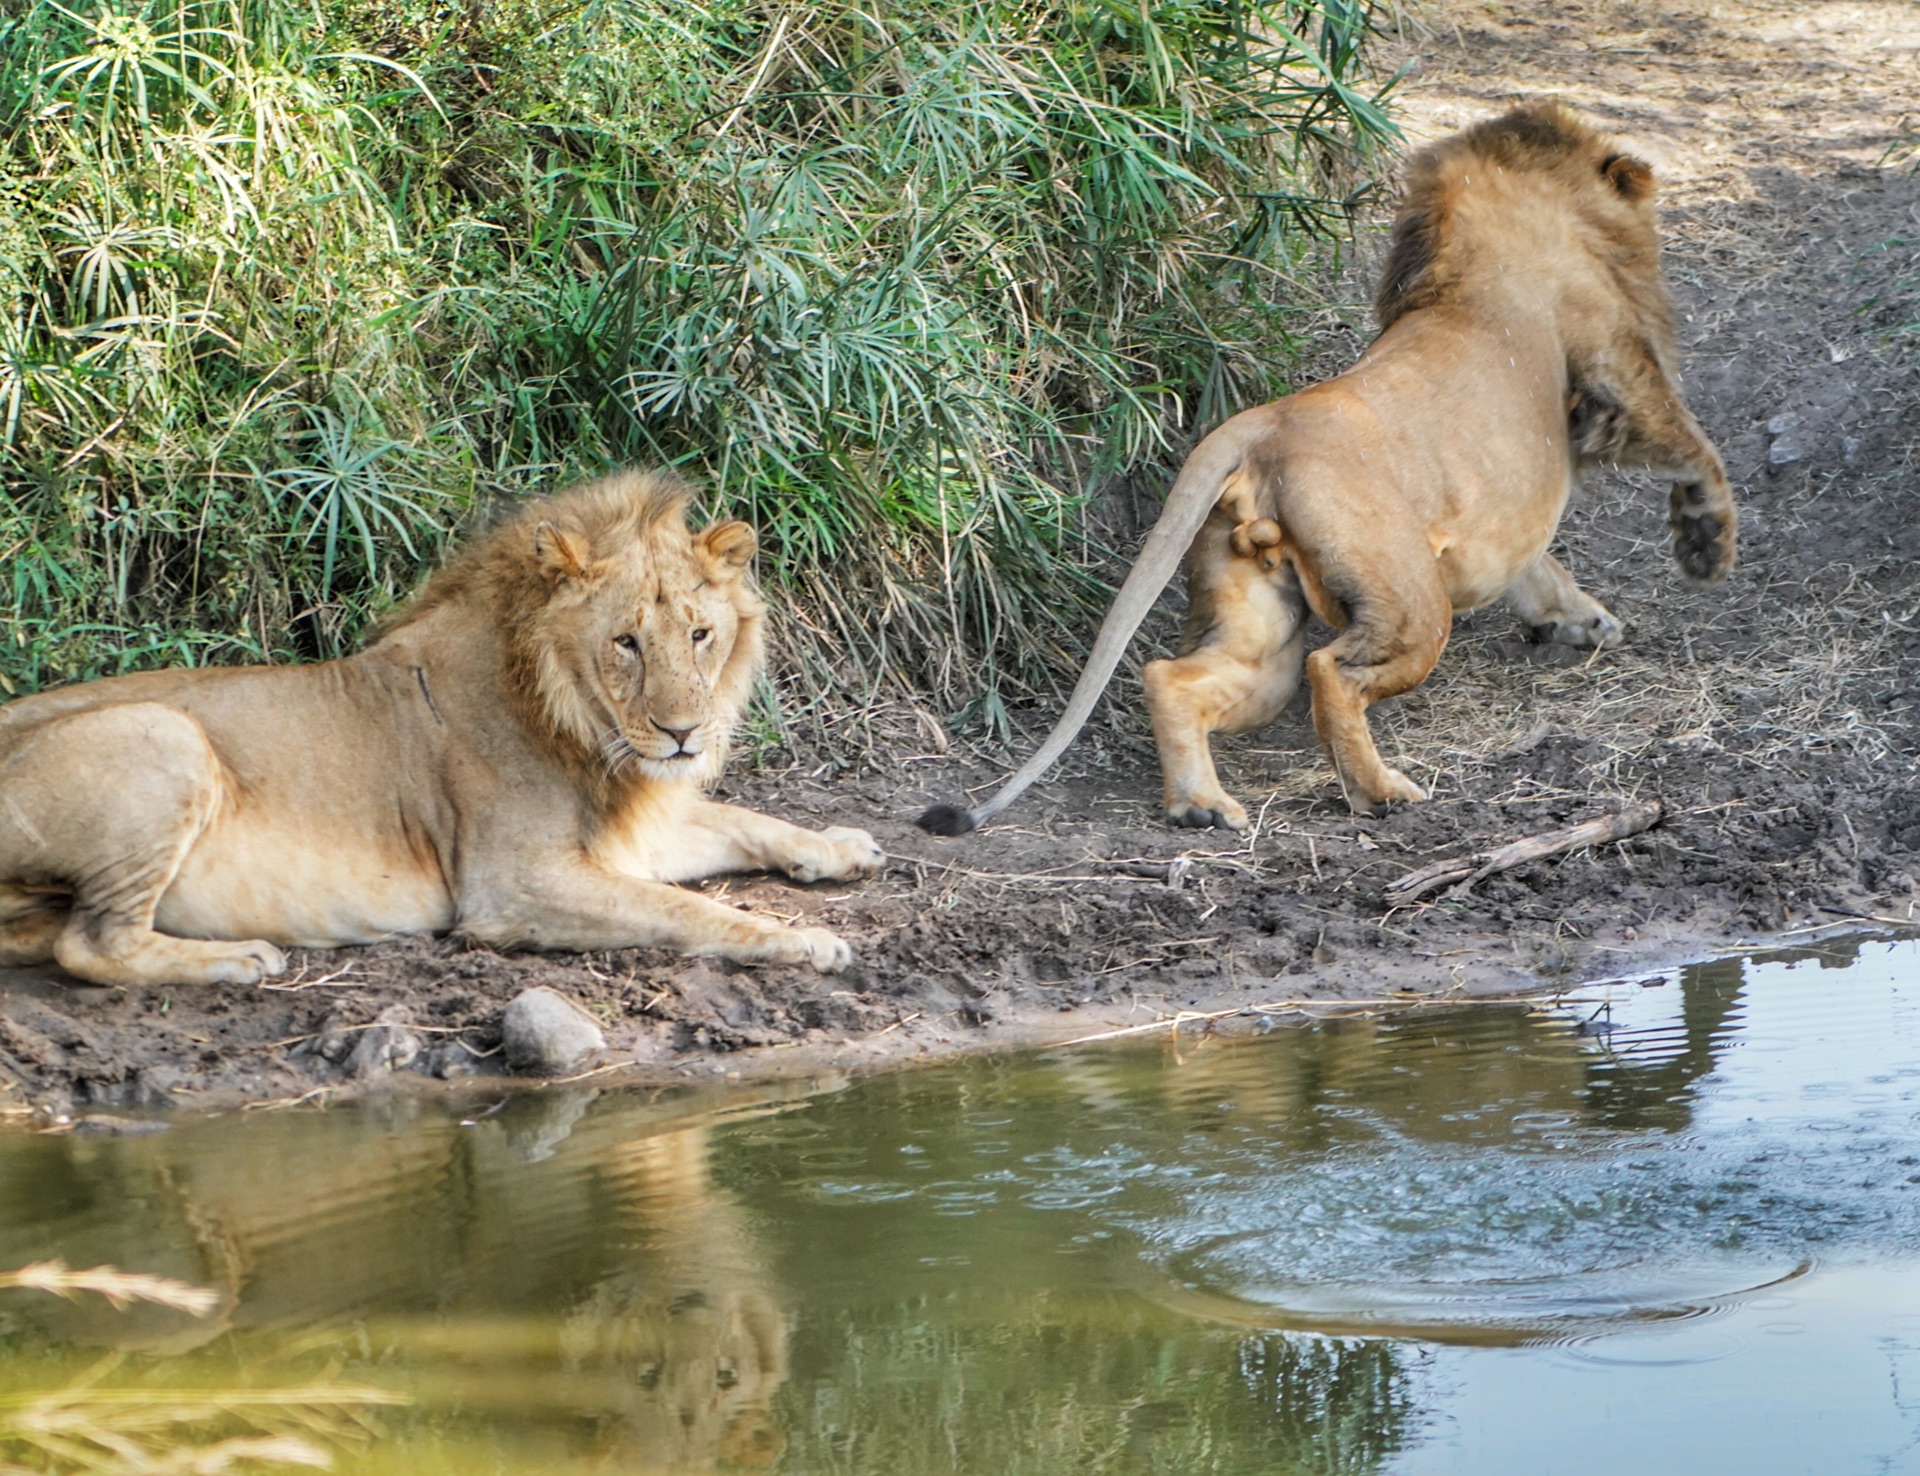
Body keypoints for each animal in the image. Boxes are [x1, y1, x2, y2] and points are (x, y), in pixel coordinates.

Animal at [0, 466, 883, 982]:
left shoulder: (626, 831)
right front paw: (804, 941)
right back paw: (238, 960)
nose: (682, 734)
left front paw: (838, 846)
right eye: (625, 643)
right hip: (164, 737)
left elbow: (741, 819)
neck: (580, 727)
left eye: (700, 634)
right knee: (92, 943)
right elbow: (685, 910)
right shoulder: (513, 884)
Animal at [917, 102, 1743, 836]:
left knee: (1176, 677)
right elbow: (1691, 444)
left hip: (1256, 617)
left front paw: (1577, 617)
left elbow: (1538, 562)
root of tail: (1260, 424)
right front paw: (1705, 543)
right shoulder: (1614, 363)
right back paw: (1380, 792)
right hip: (1410, 598)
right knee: (1330, 673)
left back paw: (1200, 806)